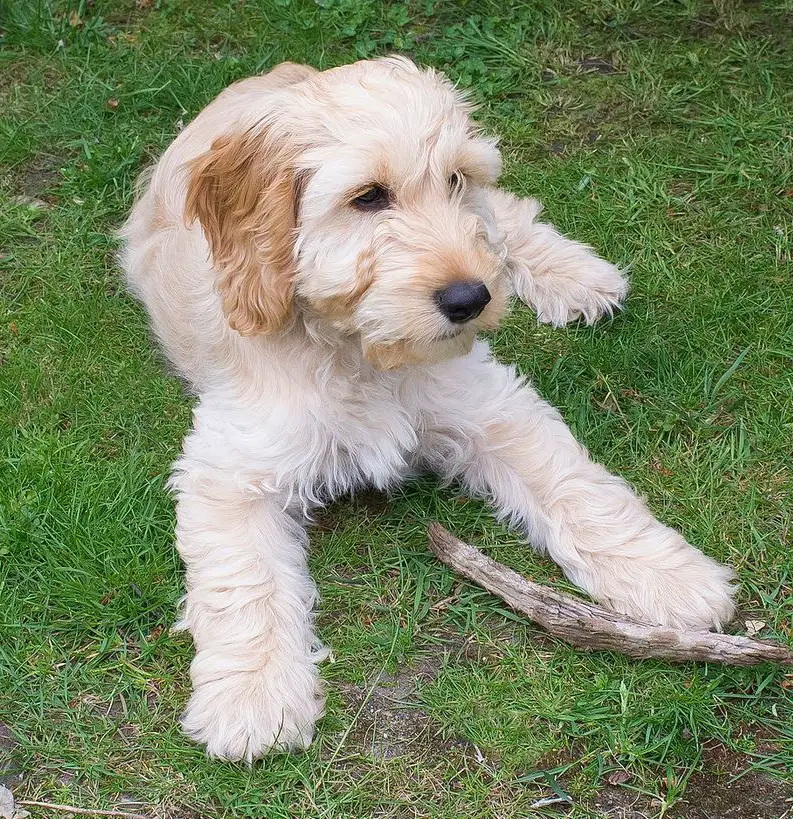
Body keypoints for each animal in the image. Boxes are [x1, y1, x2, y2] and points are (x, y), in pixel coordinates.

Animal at [119, 56, 736, 764]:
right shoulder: (230, 471)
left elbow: (577, 488)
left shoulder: (489, 403)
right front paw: (254, 696)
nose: (471, 298)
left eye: (455, 181)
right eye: (368, 198)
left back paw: (577, 276)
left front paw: (670, 576)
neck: (358, 351)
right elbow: (244, 582)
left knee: (507, 217)